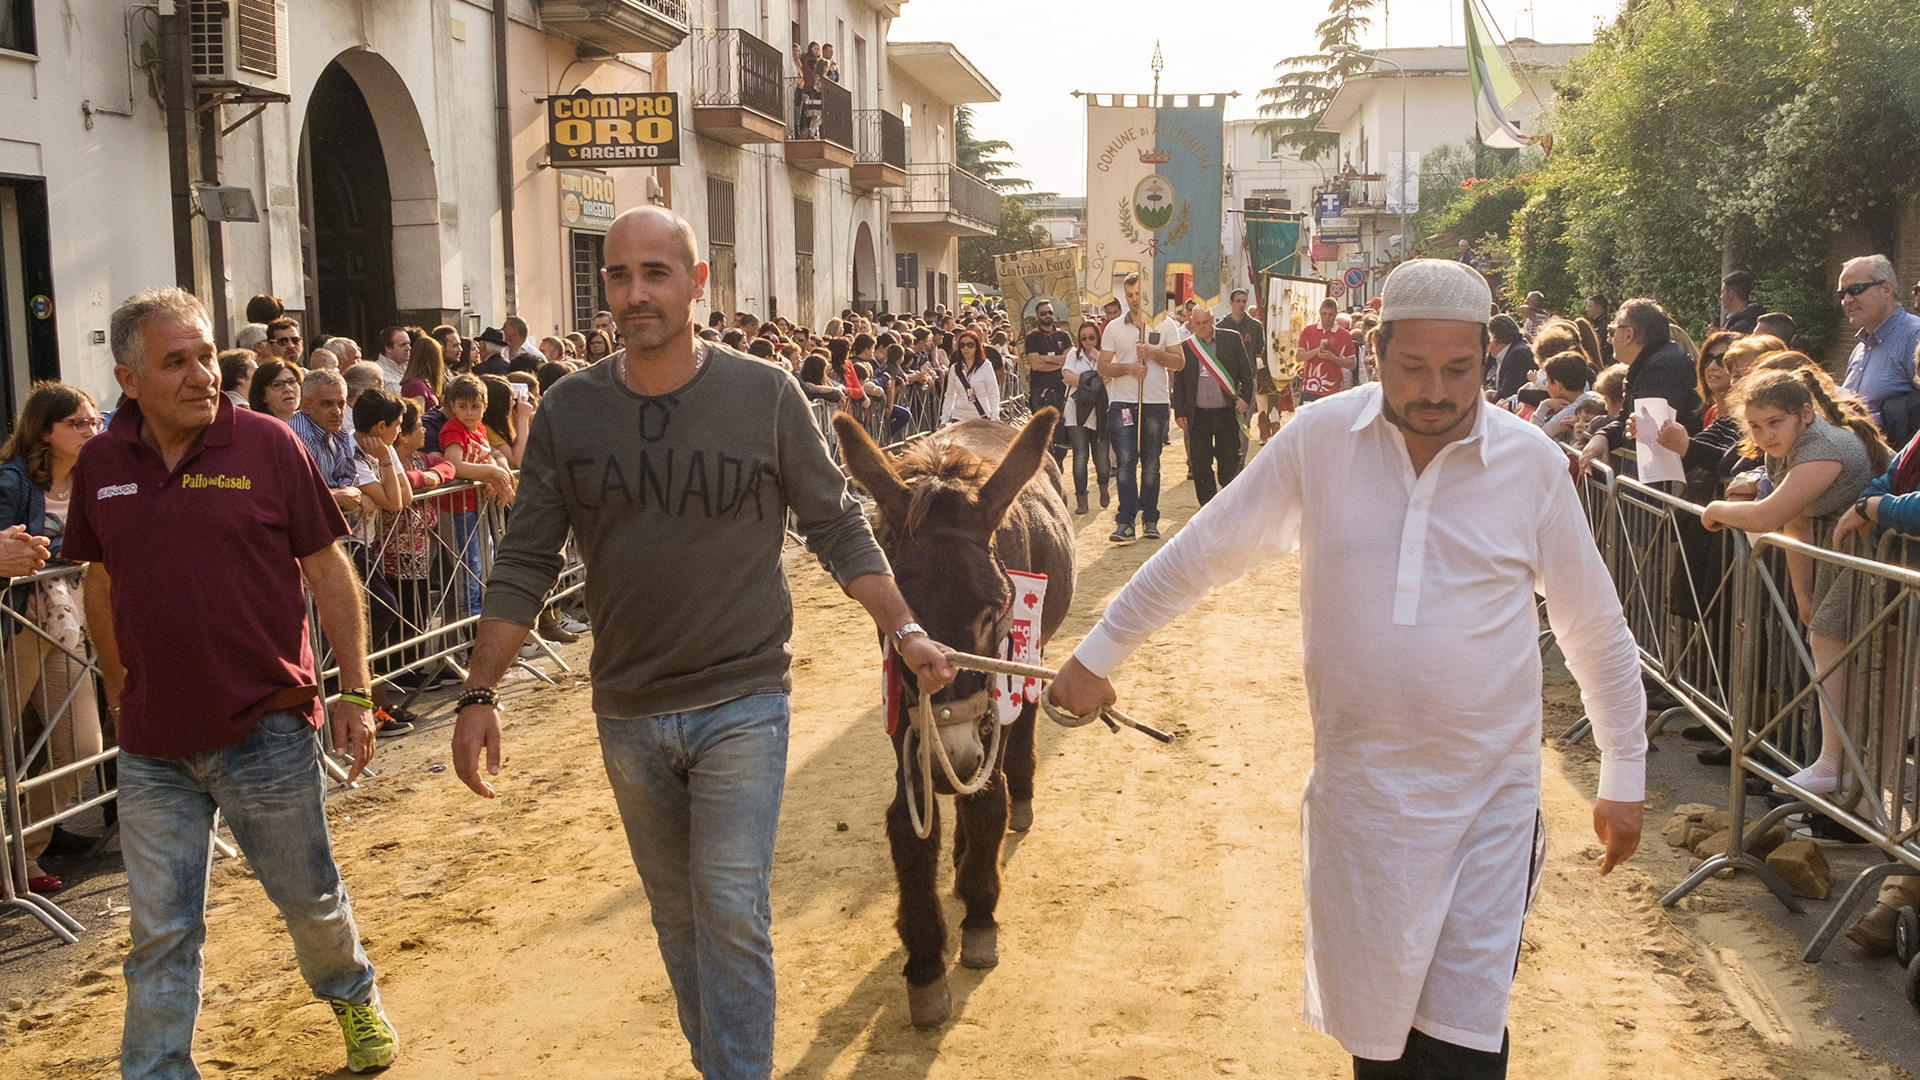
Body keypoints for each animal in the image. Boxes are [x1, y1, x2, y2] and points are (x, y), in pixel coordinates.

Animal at [833, 407, 1075, 1027]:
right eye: (900, 616)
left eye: (993, 608)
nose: (955, 756)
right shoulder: (904, 715)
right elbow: (909, 823)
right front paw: (924, 965)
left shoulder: (997, 686)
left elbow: (986, 800)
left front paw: (980, 917)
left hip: (1028, 657)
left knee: (1017, 735)